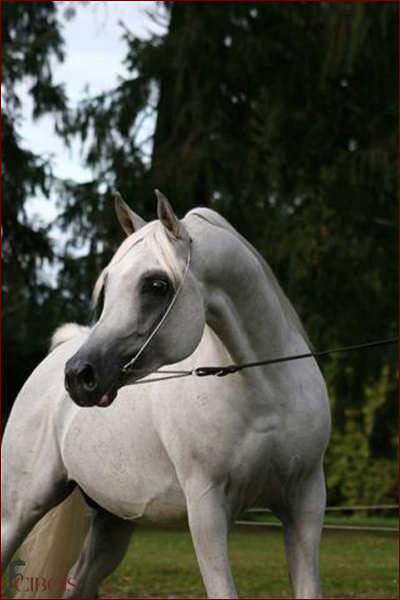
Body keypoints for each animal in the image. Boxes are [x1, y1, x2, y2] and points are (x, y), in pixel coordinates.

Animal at [1, 191, 331, 599]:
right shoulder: (207, 510)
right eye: (107, 287)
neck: (266, 394)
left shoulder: (305, 504)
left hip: (112, 521)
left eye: (156, 285)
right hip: (18, 511)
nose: (80, 376)